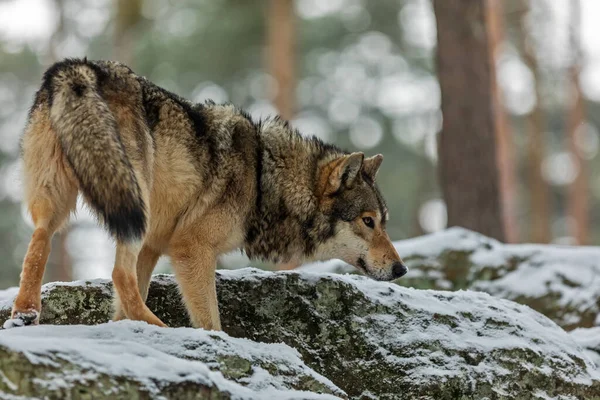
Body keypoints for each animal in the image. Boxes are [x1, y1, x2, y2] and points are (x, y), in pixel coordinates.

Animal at [7, 58, 408, 328]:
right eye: (368, 221)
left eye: (383, 222)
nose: (401, 268)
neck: (263, 178)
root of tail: (79, 67)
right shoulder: (191, 248)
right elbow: (210, 322)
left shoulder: (156, 246)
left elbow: (126, 301)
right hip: (134, 201)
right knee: (117, 273)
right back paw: (161, 328)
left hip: (66, 202)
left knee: (40, 242)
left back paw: (25, 312)